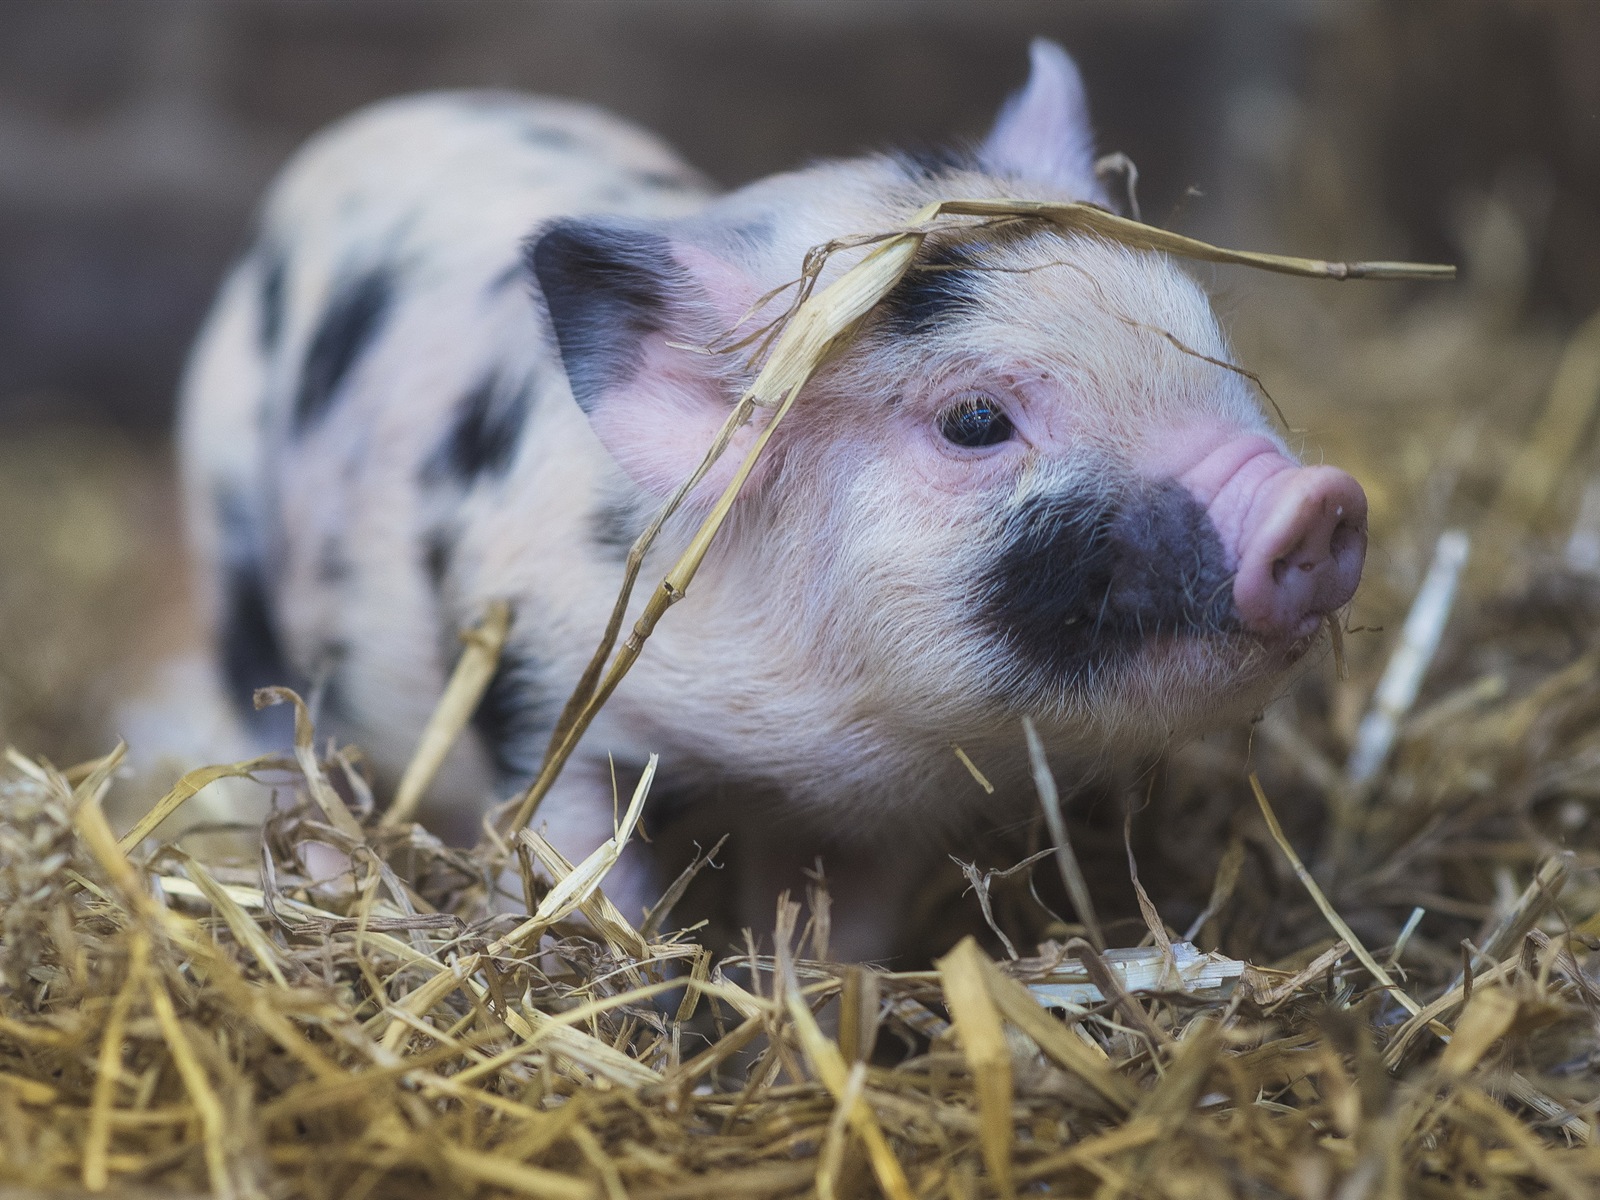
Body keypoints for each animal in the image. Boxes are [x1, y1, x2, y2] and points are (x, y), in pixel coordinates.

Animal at [181, 40, 1369, 960]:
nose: (1315, 501)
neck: (777, 739)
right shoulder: (541, 702)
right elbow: (583, 884)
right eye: (975, 420)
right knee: (279, 730)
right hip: (229, 533)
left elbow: (832, 945)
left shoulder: (872, 814)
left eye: (1210, 342)